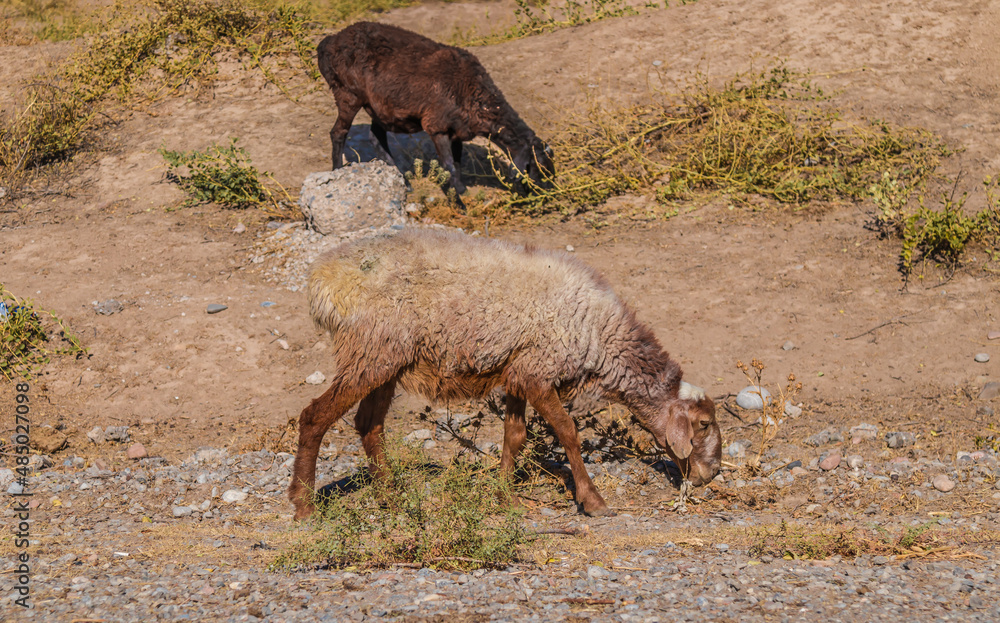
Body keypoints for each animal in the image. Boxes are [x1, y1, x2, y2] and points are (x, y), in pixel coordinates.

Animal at [289, 228, 721, 520]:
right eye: (702, 424)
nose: (712, 473)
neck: (600, 335)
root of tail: (321, 281)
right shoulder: (540, 372)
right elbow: (568, 432)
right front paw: (593, 500)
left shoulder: (519, 371)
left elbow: (515, 435)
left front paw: (504, 494)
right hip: (371, 352)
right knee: (314, 417)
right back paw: (305, 504)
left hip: (385, 361)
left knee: (368, 425)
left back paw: (390, 496)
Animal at [316, 22, 555, 204]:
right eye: (538, 166)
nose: (551, 192)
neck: (474, 93)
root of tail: (328, 43)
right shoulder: (437, 126)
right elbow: (448, 166)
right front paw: (458, 203)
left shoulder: (458, 131)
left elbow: (457, 163)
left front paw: (461, 190)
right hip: (347, 93)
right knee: (338, 132)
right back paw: (337, 170)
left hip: (380, 106)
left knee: (376, 137)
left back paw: (405, 183)